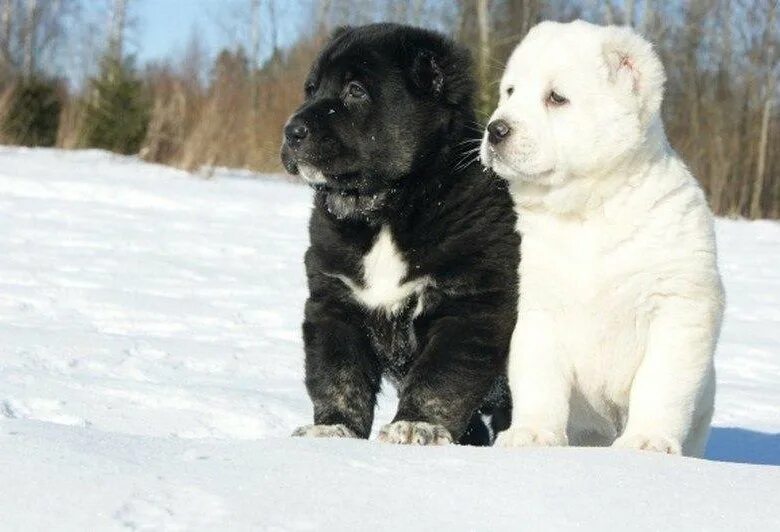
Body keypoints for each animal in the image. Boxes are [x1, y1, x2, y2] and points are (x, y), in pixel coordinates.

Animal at [280, 23, 516, 444]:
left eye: (355, 90)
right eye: (311, 89)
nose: (291, 131)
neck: (388, 210)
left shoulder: (470, 305)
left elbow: (440, 378)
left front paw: (416, 426)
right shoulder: (335, 302)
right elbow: (338, 376)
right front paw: (332, 429)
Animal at [482, 18, 724, 456]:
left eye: (556, 97)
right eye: (510, 91)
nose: (496, 129)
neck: (590, 211)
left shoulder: (678, 304)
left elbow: (661, 382)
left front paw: (647, 441)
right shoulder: (541, 304)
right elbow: (539, 377)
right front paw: (532, 435)